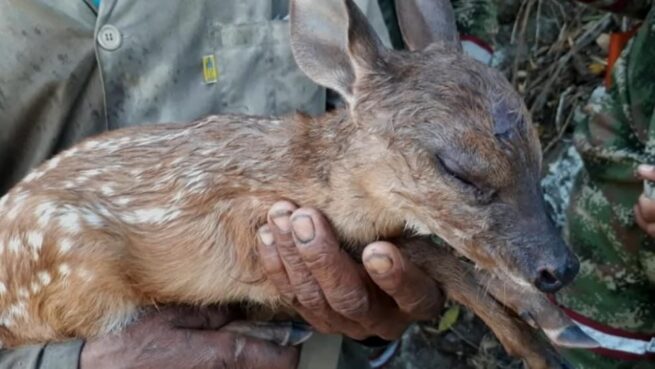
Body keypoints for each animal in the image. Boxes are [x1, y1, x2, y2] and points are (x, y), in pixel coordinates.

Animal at [0, 0, 596, 366]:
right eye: (458, 168)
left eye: (537, 152)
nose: (561, 267)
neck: (313, 178)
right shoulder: (255, 235)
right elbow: (439, 255)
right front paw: (542, 340)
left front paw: (554, 325)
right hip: (75, 273)